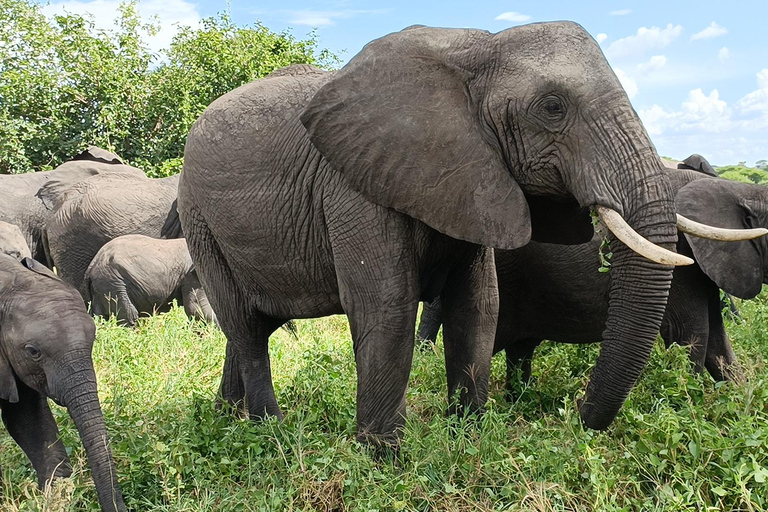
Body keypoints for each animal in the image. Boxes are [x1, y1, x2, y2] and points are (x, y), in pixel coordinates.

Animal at [83, 234, 216, 326]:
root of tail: (91, 267)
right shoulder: (192, 275)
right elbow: (197, 308)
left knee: (99, 318)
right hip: (113, 283)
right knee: (129, 317)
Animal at [178, 22, 744, 444]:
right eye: (553, 107)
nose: (575, 417)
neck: (477, 48)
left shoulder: (473, 178)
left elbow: (478, 304)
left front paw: (468, 437)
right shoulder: (354, 186)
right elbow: (386, 306)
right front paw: (383, 463)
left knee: (250, 326)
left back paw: (226, 418)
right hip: (198, 219)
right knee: (247, 329)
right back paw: (267, 433)